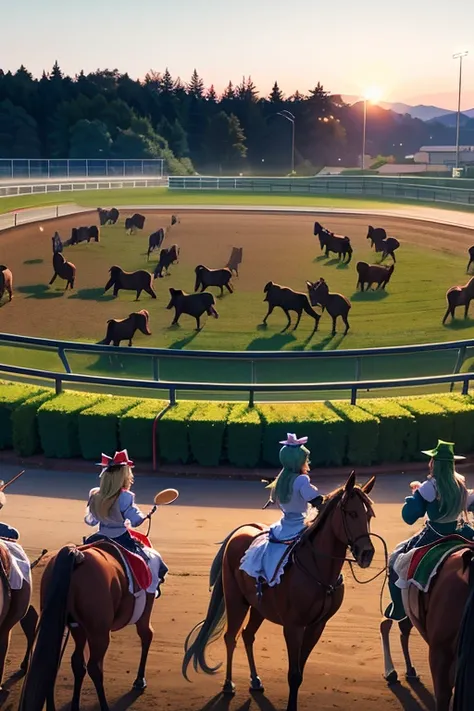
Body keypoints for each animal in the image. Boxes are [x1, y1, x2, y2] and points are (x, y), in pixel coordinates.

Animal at [19, 532, 159, 711]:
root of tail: (76, 556)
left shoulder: (79, 627)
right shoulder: (145, 611)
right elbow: (147, 635)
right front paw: (140, 680)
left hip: (72, 626)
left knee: (70, 663)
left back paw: (72, 705)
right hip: (99, 633)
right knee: (95, 667)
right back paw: (105, 706)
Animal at [183, 472, 376, 711]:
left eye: (369, 515)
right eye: (351, 513)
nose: (367, 553)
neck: (318, 569)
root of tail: (242, 530)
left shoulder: (317, 626)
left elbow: (300, 670)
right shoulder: (293, 627)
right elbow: (293, 674)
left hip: (259, 607)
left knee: (247, 635)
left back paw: (255, 680)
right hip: (236, 600)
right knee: (231, 637)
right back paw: (228, 684)